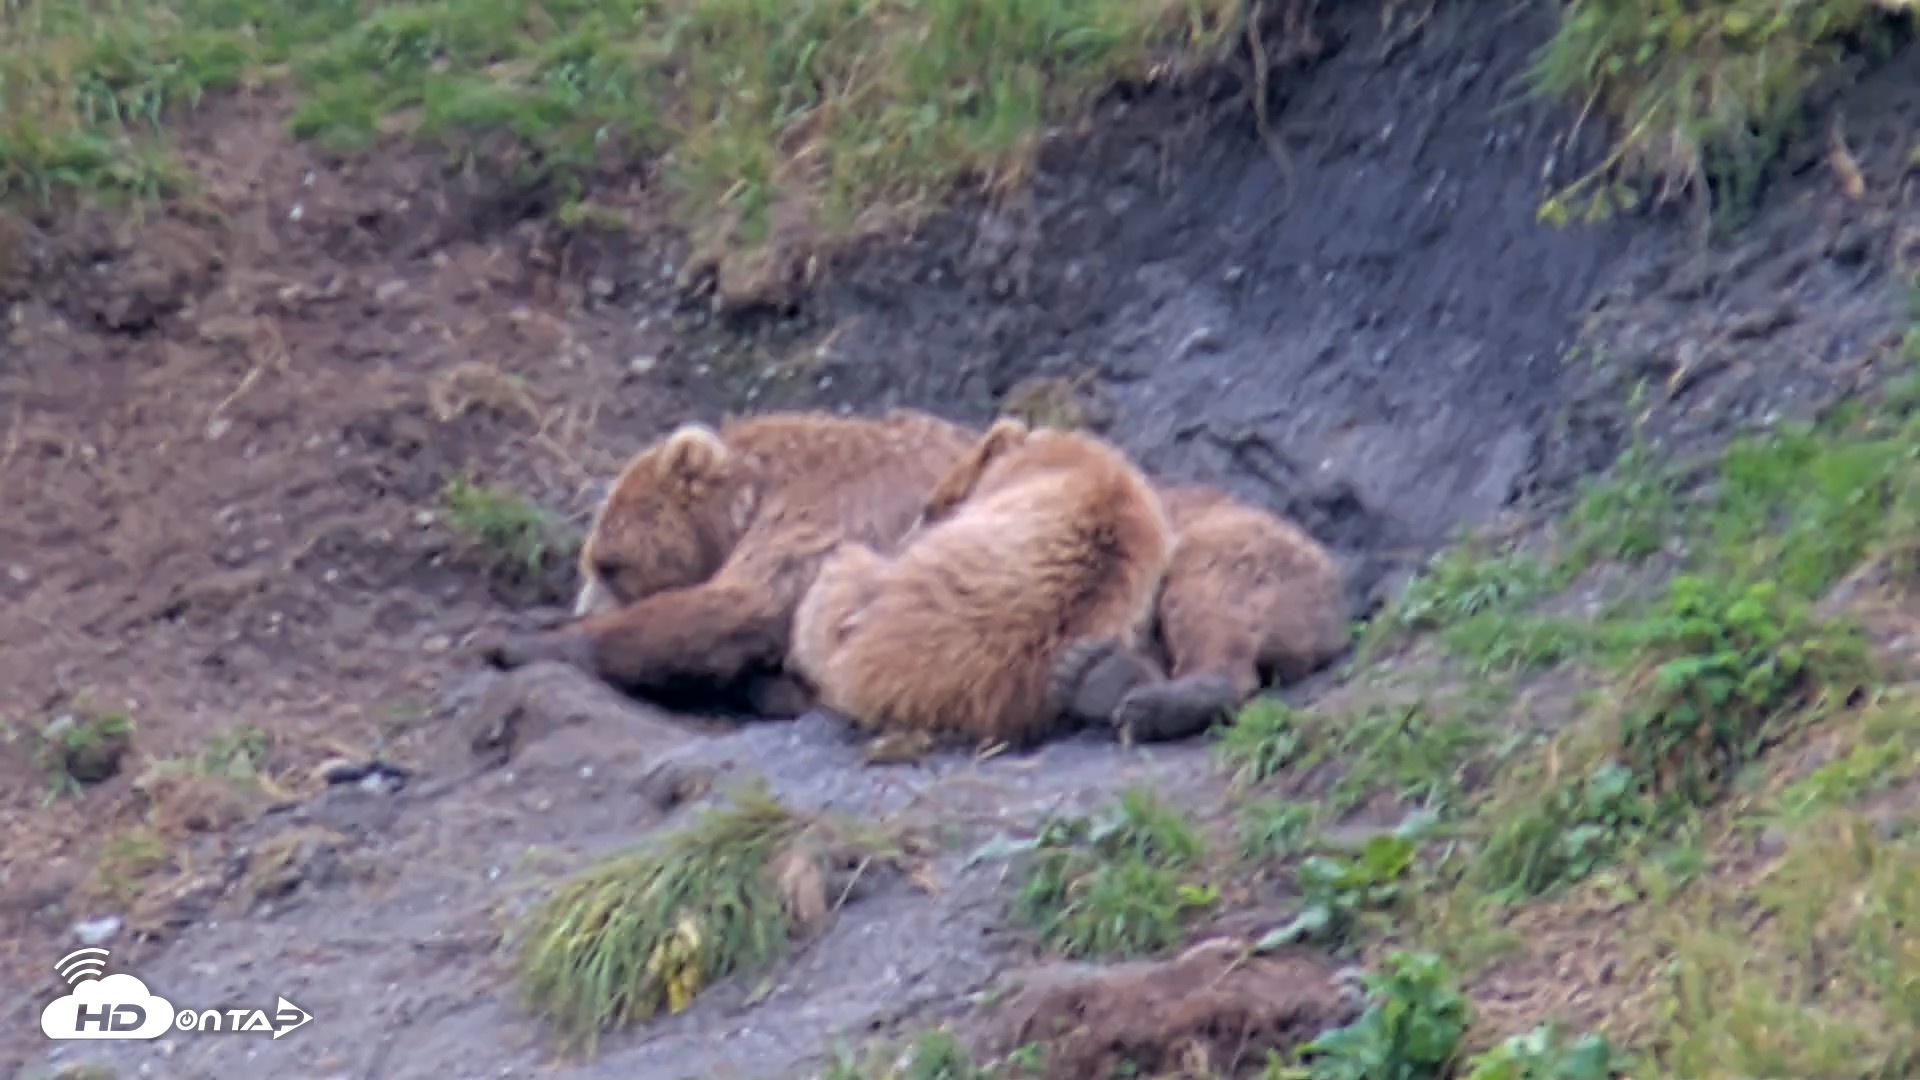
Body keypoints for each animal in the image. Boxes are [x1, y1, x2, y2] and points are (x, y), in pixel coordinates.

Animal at [479, 408, 978, 714]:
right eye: (593, 563)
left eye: (610, 564)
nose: (583, 607)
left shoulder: (832, 507)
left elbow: (743, 604)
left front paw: (512, 640)